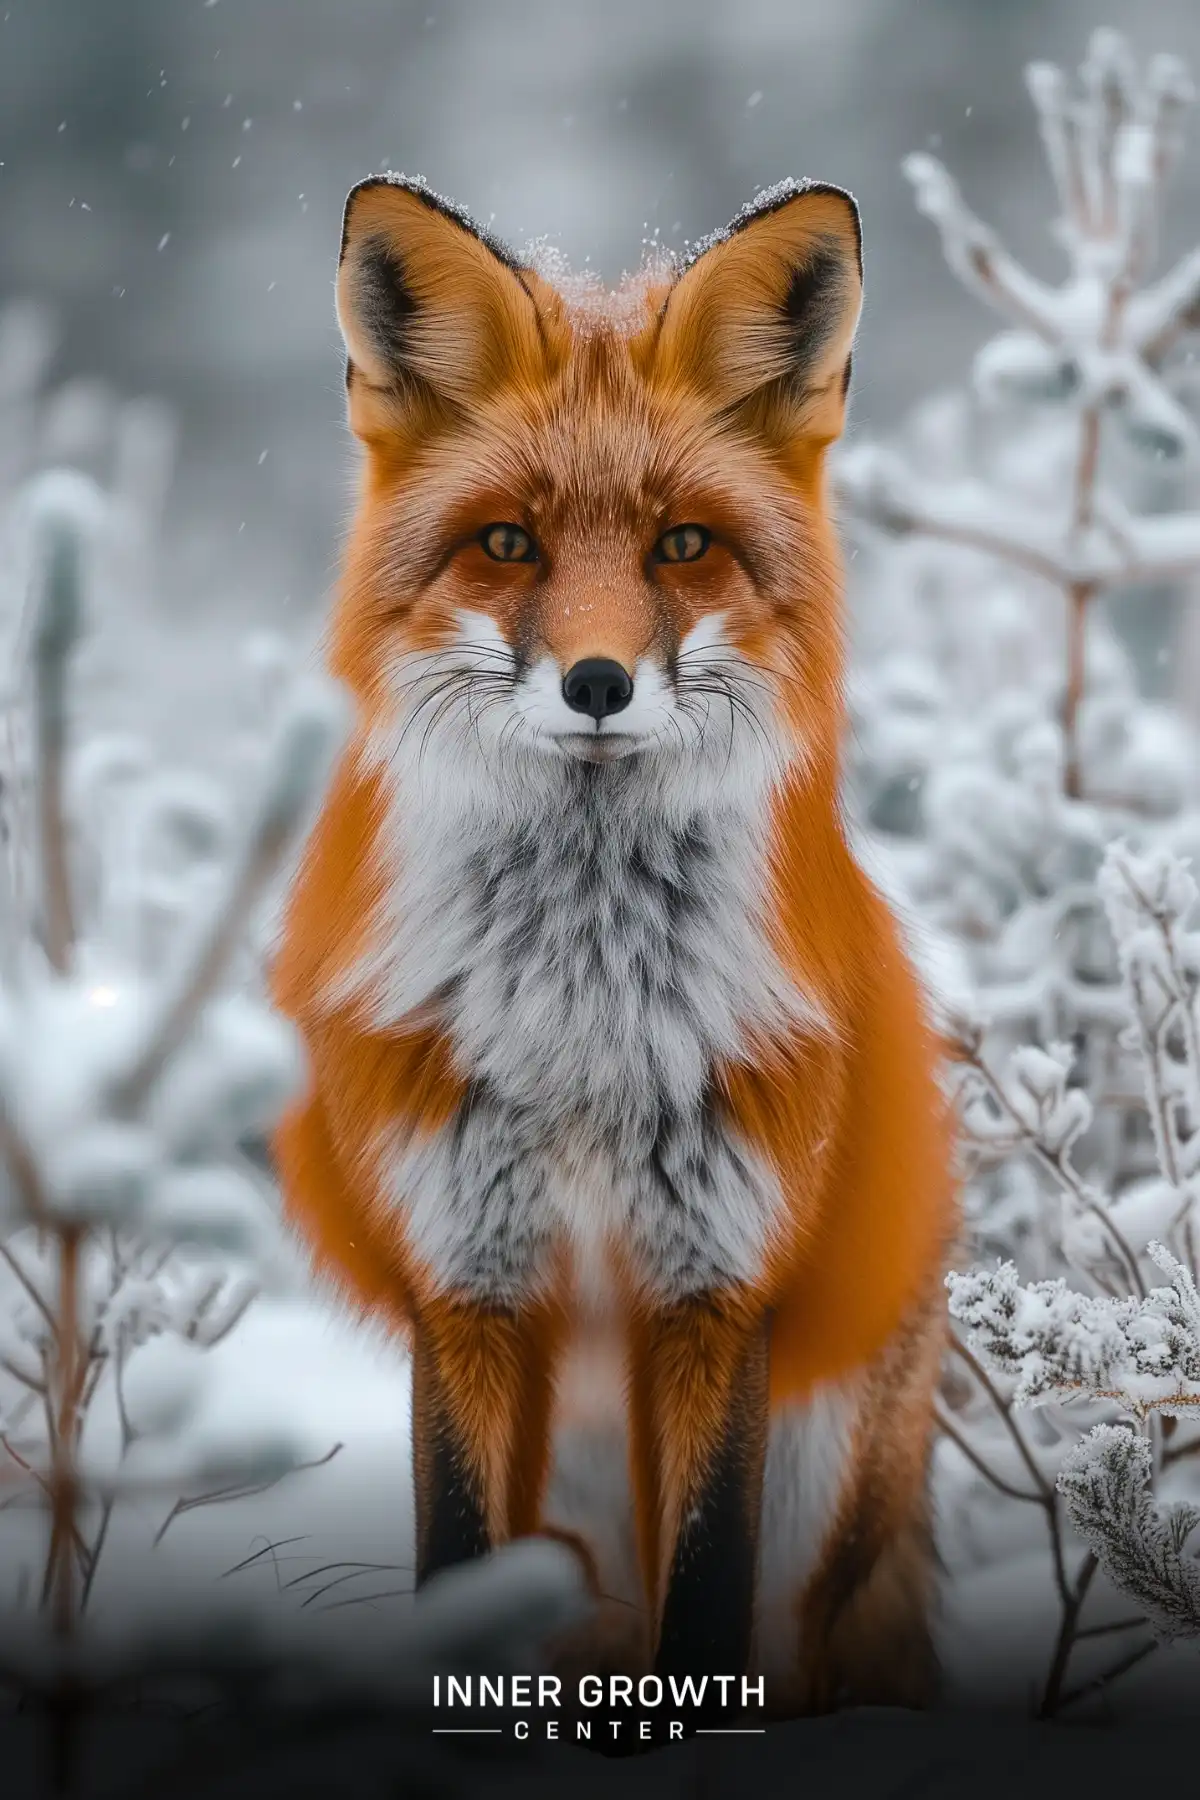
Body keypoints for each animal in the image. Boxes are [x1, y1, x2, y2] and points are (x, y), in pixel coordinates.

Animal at [269, 175, 957, 1720]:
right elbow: (463, 1567)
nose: (596, 683)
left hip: (826, 1491)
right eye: (510, 543)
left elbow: (699, 1604)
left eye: (681, 545)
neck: (584, 1030)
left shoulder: (717, 1289)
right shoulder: (468, 1283)